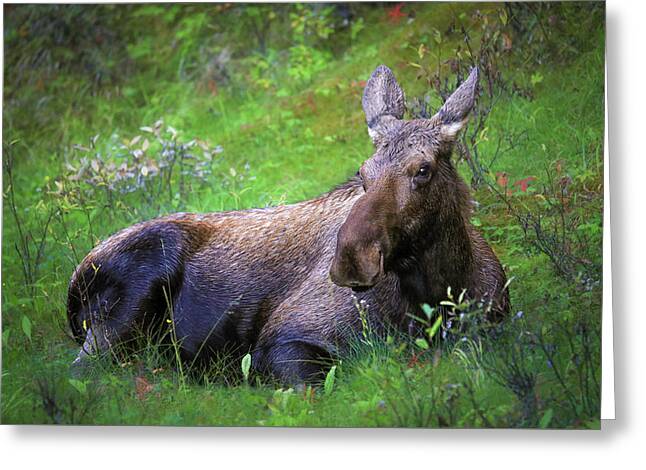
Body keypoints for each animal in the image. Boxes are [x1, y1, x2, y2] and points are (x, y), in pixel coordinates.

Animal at [67, 64, 512, 384]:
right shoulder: (282, 340)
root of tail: (71, 288)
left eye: (423, 169)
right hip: (125, 305)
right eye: (362, 171)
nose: (351, 258)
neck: (439, 293)